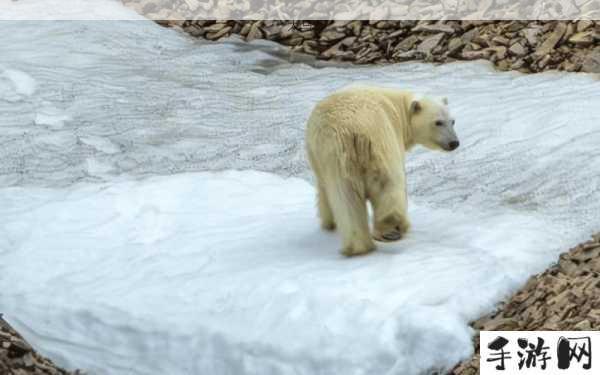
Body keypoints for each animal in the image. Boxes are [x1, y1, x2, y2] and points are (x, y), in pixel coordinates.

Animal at [304, 85, 460, 256]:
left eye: (452, 121)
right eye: (438, 122)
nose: (454, 143)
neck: (398, 106)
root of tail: (351, 130)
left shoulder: (319, 163)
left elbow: (324, 191)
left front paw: (329, 223)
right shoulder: (393, 132)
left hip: (336, 158)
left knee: (345, 196)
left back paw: (358, 246)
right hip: (379, 143)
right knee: (388, 183)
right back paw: (391, 230)